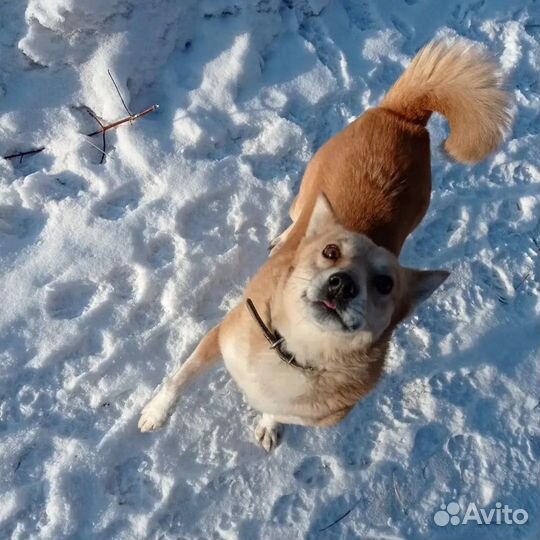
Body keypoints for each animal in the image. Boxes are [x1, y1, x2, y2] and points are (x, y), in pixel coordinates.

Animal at [138, 39, 510, 452]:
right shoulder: (218, 337)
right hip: (306, 191)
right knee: (297, 213)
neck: (294, 350)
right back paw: (285, 236)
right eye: (330, 252)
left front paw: (269, 423)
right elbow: (180, 378)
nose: (342, 284)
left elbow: (280, 412)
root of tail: (406, 117)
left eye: (385, 284)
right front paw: (156, 413)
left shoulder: (317, 413)